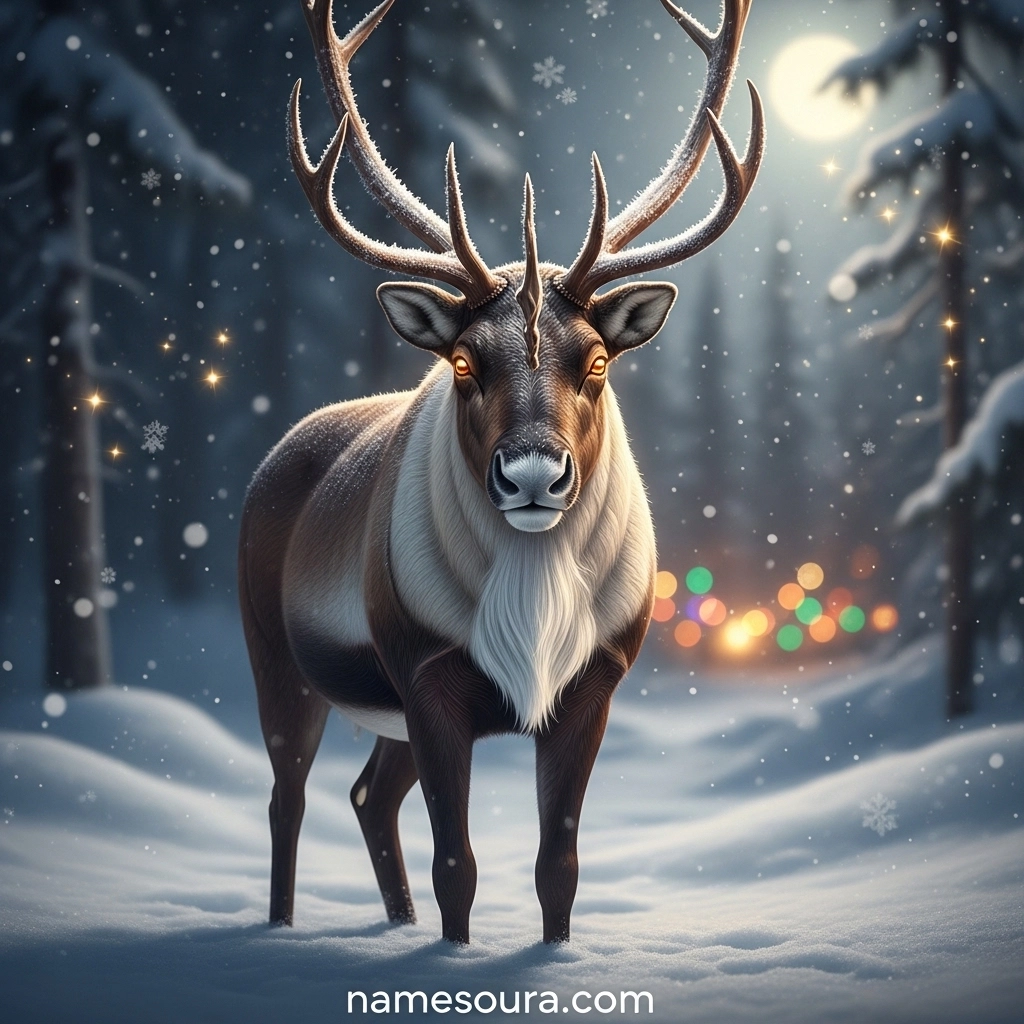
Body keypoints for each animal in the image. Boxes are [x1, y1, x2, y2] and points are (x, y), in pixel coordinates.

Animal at [238, 0, 763, 945]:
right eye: (461, 361)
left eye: (597, 360)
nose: (532, 475)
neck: (533, 620)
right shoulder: (428, 673)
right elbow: (459, 866)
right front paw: (450, 954)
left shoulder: (592, 684)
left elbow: (559, 867)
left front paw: (548, 955)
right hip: (279, 658)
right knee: (287, 798)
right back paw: (283, 929)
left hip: (383, 713)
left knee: (367, 796)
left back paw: (393, 924)